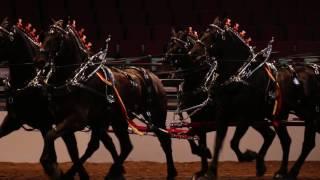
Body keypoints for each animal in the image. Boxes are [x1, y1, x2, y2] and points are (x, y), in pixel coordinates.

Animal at [0, 17, 90, 179]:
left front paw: (56, 171)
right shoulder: (13, 120)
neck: (32, 80)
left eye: (1, 38)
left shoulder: (45, 124)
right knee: (73, 149)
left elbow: (48, 158)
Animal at [37, 20, 178, 179]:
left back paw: (170, 172)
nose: (40, 60)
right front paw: (60, 170)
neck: (77, 78)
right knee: (126, 146)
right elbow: (65, 144)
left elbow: (50, 136)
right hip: (118, 120)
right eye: (44, 36)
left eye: (58, 37)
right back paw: (113, 172)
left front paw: (50, 165)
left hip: (156, 116)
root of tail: (154, 76)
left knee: (165, 140)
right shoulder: (64, 119)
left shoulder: (78, 120)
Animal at [189, 16, 320, 179]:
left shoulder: (246, 116)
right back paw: (282, 172)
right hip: (280, 116)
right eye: (203, 32)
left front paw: (250, 156)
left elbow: (233, 142)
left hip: (308, 114)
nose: (193, 53)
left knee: (307, 143)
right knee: (287, 141)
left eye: (213, 35)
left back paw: (291, 172)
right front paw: (211, 172)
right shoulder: (223, 115)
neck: (241, 77)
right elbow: (219, 142)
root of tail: (313, 69)